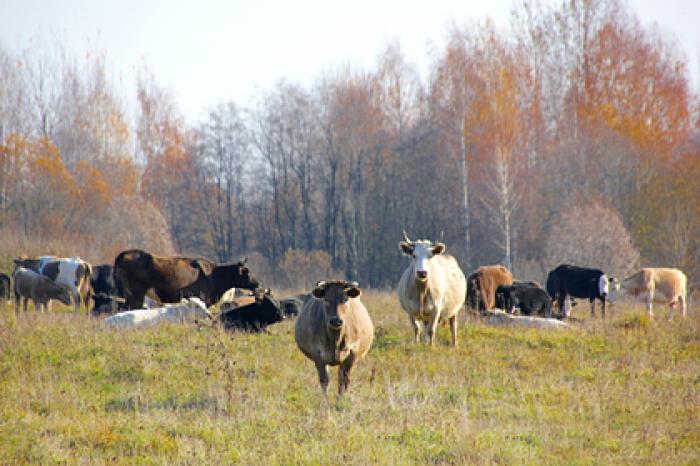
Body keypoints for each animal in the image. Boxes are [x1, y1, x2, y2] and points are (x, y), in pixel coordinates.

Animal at [114, 249, 260, 312]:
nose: (257, 283)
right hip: (135, 294)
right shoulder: (202, 298)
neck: (214, 276)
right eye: (247, 272)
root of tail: (126, 253)